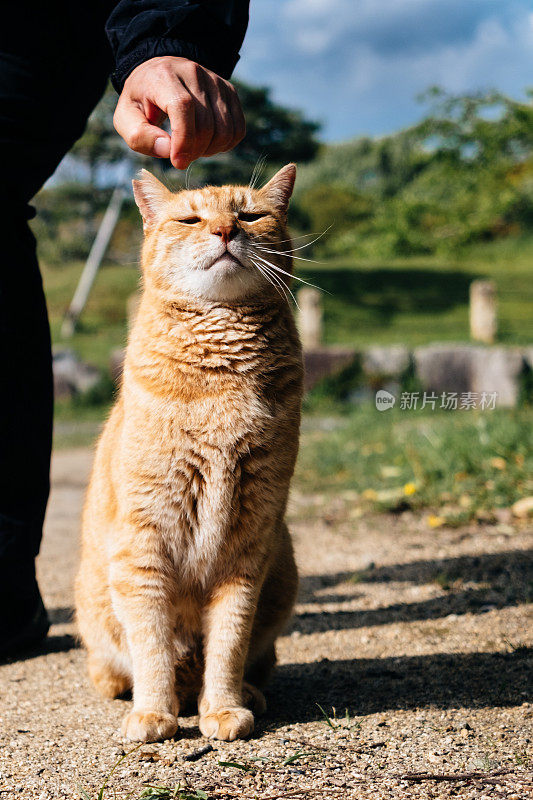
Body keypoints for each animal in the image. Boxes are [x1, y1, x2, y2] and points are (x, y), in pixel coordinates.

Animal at [74, 164, 304, 744]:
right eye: (191, 220)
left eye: (250, 214)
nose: (225, 231)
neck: (221, 382)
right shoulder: (143, 544)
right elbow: (153, 645)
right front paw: (155, 713)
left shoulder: (249, 544)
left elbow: (228, 642)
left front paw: (221, 707)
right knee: (115, 665)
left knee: (254, 658)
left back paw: (244, 692)